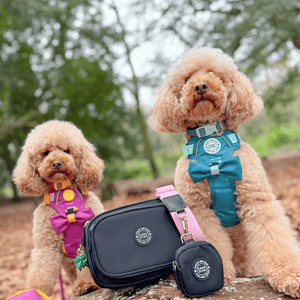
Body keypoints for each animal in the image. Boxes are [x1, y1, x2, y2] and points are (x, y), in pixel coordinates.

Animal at [13, 119, 105, 296]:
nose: (56, 163)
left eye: (66, 150)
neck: (65, 194)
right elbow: (40, 270)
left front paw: (86, 284)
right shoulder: (46, 244)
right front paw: (33, 292)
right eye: (45, 152)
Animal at [151, 47, 300, 298]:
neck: (212, 145)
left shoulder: (256, 200)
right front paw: (221, 273)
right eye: (187, 79)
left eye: (215, 74)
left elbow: (274, 240)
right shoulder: (198, 210)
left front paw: (290, 275)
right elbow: (212, 238)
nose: (200, 85)